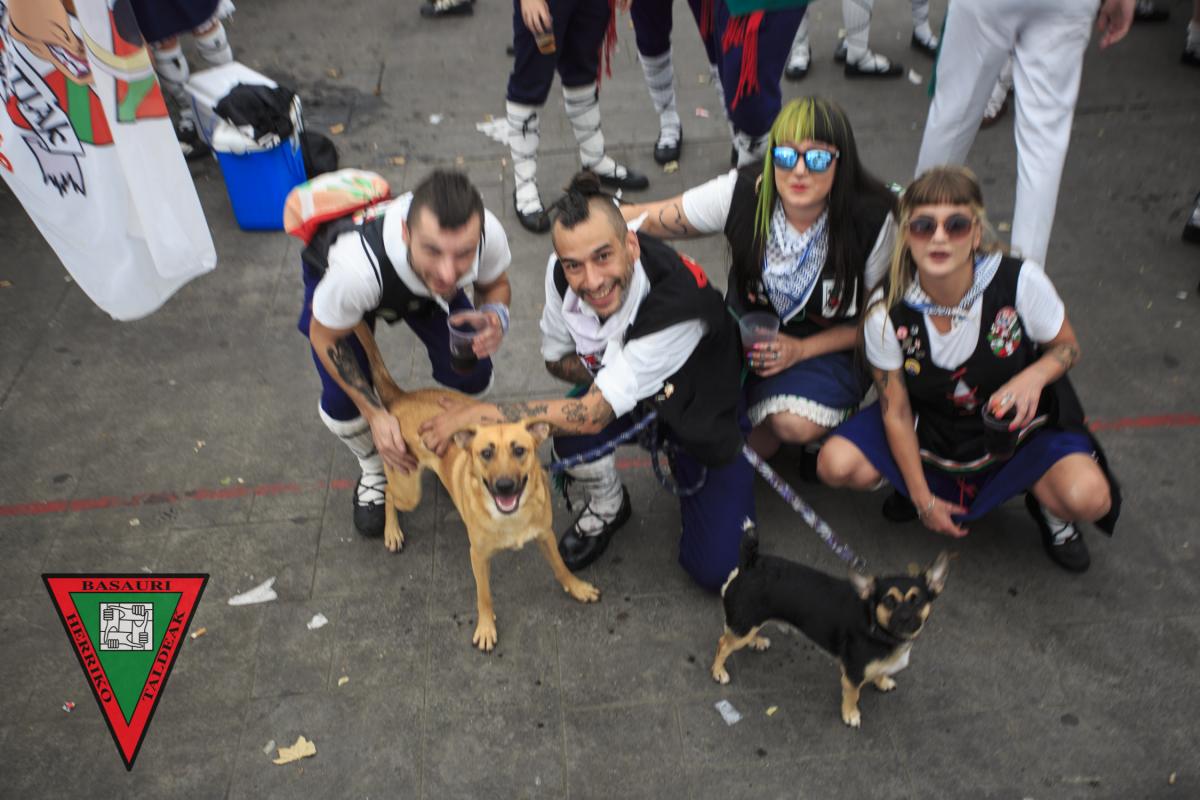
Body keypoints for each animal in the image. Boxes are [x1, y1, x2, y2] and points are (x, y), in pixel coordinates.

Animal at [354, 325, 600, 651]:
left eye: (519, 450)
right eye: (485, 453)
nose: (505, 486)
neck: (509, 517)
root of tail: (403, 398)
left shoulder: (545, 535)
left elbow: (561, 567)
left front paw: (577, 587)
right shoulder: (478, 556)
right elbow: (484, 596)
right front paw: (486, 627)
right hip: (408, 489)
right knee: (391, 494)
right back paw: (391, 530)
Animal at [710, 521, 949, 728]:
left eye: (918, 600)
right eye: (889, 601)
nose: (905, 617)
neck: (878, 628)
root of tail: (751, 563)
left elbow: (880, 672)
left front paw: (882, 681)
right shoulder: (852, 674)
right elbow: (853, 695)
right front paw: (851, 714)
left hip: (749, 621)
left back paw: (757, 641)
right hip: (743, 626)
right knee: (723, 643)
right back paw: (718, 671)